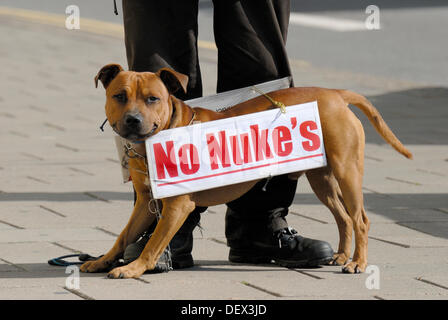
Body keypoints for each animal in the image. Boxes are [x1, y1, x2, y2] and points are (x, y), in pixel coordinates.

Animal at [79, 63, 412, 278]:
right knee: (343, 217)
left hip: (347, 172)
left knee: (360, 219)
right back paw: (342, 255)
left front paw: (134, 268)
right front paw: (104, 260)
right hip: (322, 179)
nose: (133, 120)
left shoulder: (176, 207)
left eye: (153, 99)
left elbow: (153, 243)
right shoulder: (146, 204)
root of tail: (335, 94)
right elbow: (123, 236)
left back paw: (357, 263)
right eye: (119, 96)